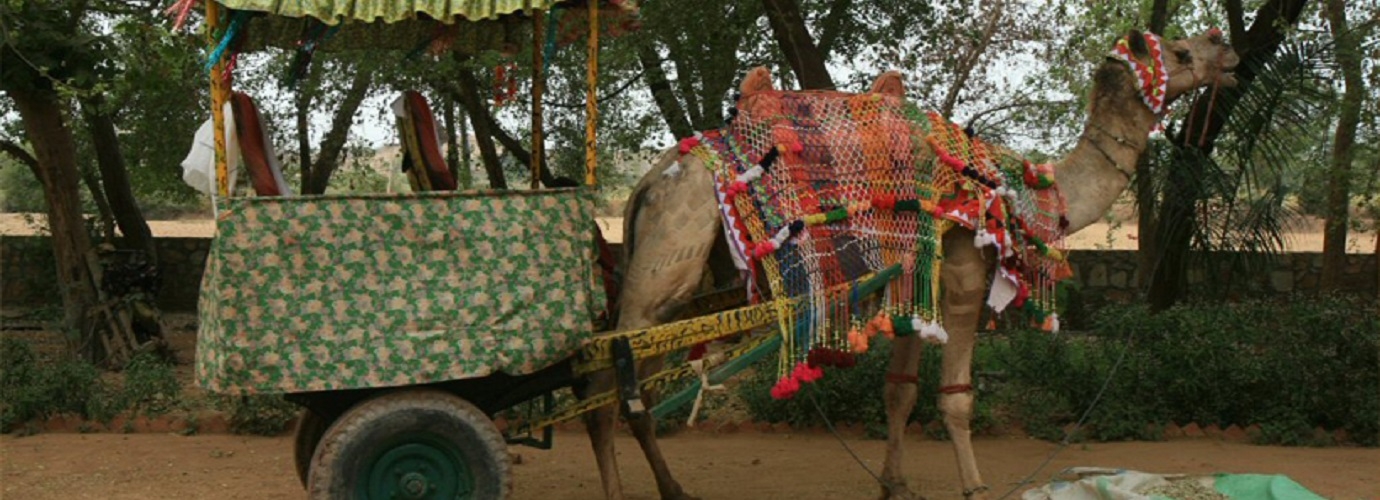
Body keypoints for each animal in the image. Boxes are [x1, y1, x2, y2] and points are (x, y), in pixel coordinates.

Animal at [582, 28, 1242, 500]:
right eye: (1180, 49)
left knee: (628, 379)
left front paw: (893, 483)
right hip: (667, 263)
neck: (1019, 190)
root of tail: (646, 184)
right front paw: (973, 486)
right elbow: (955, 396)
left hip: (685, 288)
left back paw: (670, 487)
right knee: (604, 378)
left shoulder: (911, 275)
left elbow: (898, 391)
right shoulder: (963, 271)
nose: (1228, 50)